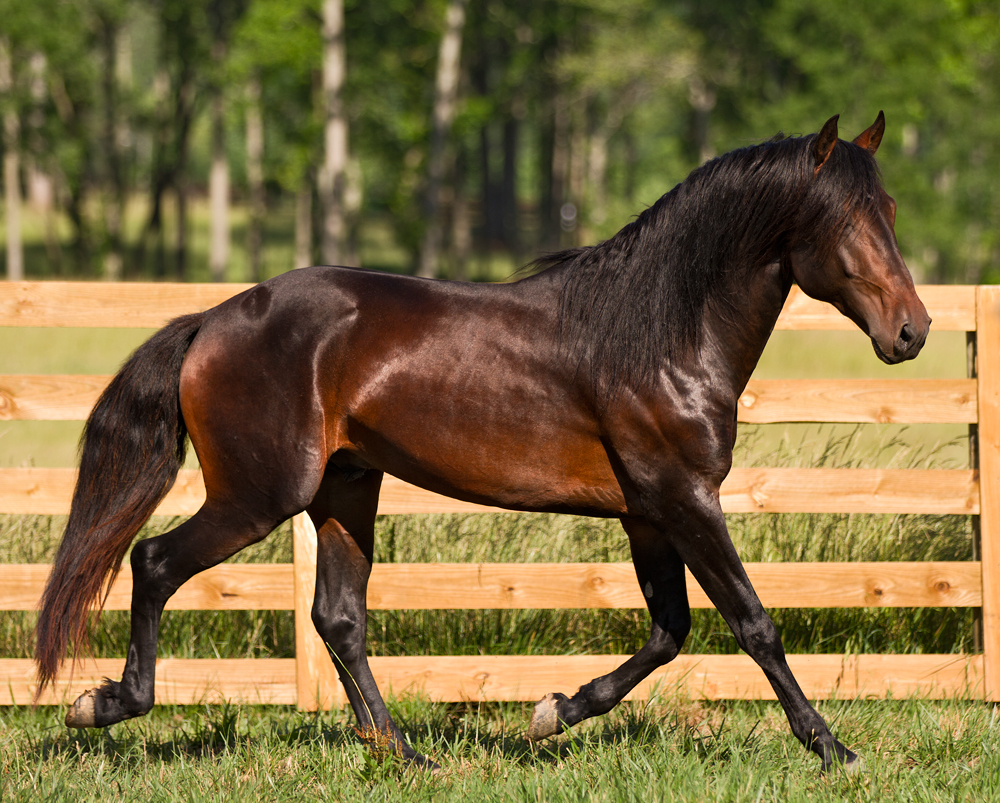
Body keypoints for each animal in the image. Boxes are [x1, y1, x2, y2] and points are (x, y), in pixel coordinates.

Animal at [37, 114, 928, 772]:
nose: (911, 331)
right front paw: (834, 749)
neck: (660, 335)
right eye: (844, 220)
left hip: (345, 488)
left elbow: (669, 630)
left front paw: (553, 711)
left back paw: (401, 752)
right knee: (155, 562)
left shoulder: (648, 513)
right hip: (258, 497)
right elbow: (752, 621)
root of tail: (213, 321)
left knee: (339, 617)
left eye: (890, 213)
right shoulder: (685, 499)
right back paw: (104, 703)